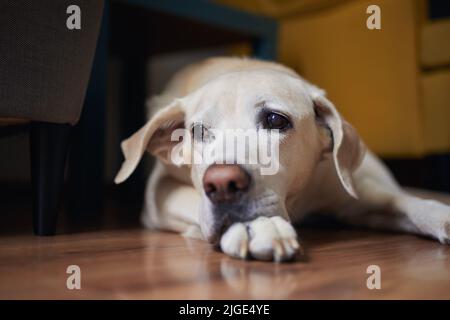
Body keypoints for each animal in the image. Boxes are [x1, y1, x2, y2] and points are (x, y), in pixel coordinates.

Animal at [114, 57, 450, 262]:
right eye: (197, 131)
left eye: (275, 120)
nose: (221, 183)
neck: (295, 200)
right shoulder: (158, 193)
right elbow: (192, 200)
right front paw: (256, 226)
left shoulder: (350, 195)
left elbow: (401, 202)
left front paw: (439, 214)